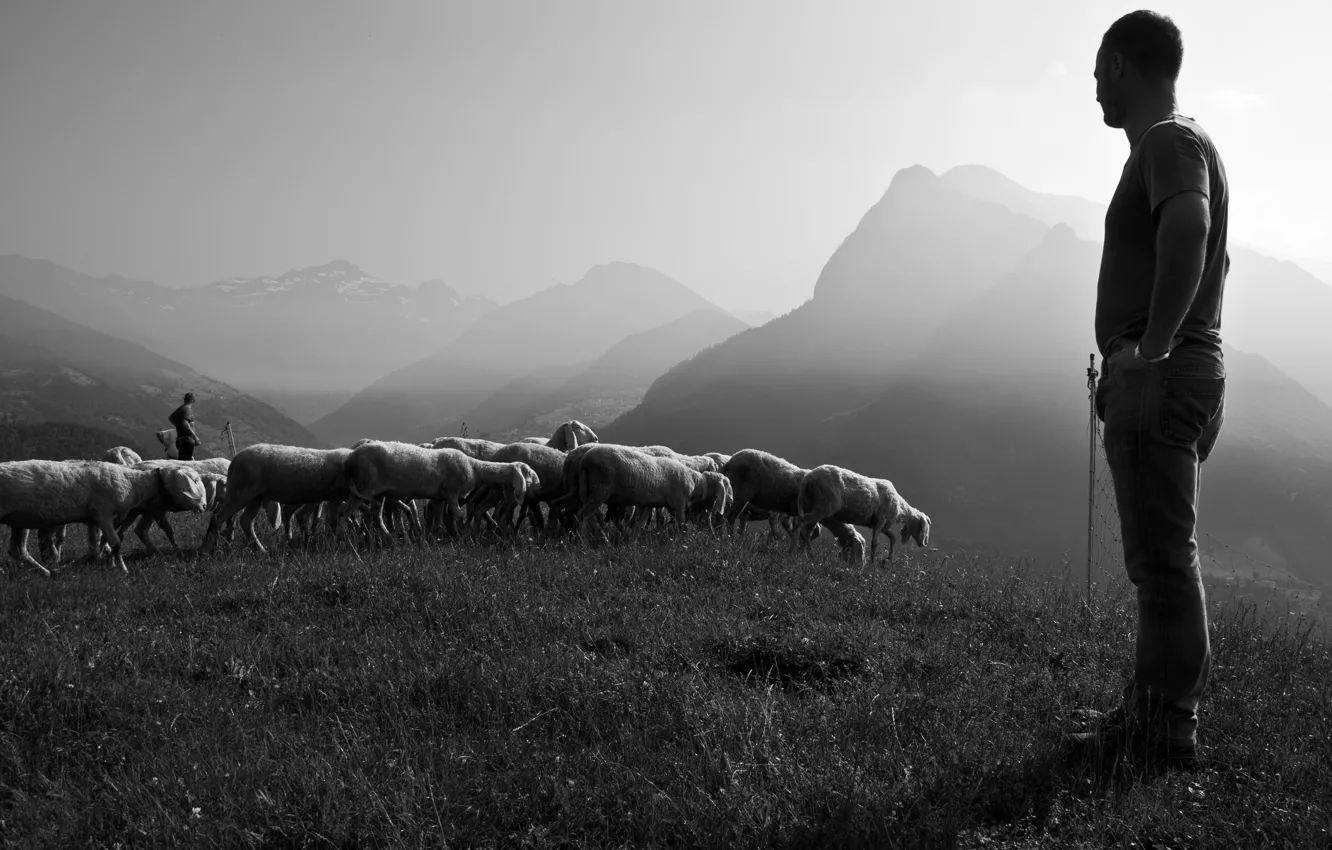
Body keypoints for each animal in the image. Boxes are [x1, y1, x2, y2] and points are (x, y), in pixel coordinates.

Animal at [1, 459, 207, 574]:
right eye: (195, 481)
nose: (204, 506)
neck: (133, 483)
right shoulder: (103, 514)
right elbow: (116, 544)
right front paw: (123, 570)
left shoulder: (94, 519)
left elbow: (95, 548)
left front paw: (71, 567)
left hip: (17, 521)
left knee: (16, 551)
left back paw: (42, 571)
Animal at [201, 444, 353, 555]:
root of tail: (234, 461)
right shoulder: (336, 496)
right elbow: (333, 523)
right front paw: (332, 547)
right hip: (241, 492)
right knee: (217, 518)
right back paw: (207, 549)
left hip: (255, 496)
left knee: (246, 521)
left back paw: (261, 550)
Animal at [339, 441, 539, 546]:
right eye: (529, 472)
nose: (538, 484)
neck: (474, 468)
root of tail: (351, 459)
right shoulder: (451, 494)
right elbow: (458, 516)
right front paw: (463, 538)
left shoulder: (440, 498)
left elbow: (437, 521)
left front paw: (430, 540)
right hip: (364, 488)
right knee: (344, 514)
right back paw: (343, 541)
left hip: (377, 495)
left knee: (374, 517)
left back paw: (382, 539)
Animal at [573, 445, 732, 542]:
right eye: (727, 485)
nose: (730, 501)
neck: (695, 481)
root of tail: (584, 461)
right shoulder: (679, 502)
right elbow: (681, 523)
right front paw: (686, 539)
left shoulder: (652, 504)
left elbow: (641, 523)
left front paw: (632, 541)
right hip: (600, 489)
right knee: (584, 514)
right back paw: (584, 540)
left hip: (590, 491)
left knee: (584, 514)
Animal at [791, 465, 931, 562]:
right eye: (923, 528)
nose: (923, 544)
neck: (900, 508)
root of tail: (808, 478)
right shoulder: (880, 521)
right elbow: (875, 543)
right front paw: (872, 564)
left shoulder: (882, 526)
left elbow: (893, 537)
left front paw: (887, 559)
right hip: (823, 507)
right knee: (800, 522)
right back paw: (796, 551)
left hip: (812, 506)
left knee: (806, 531)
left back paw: (806, 555)